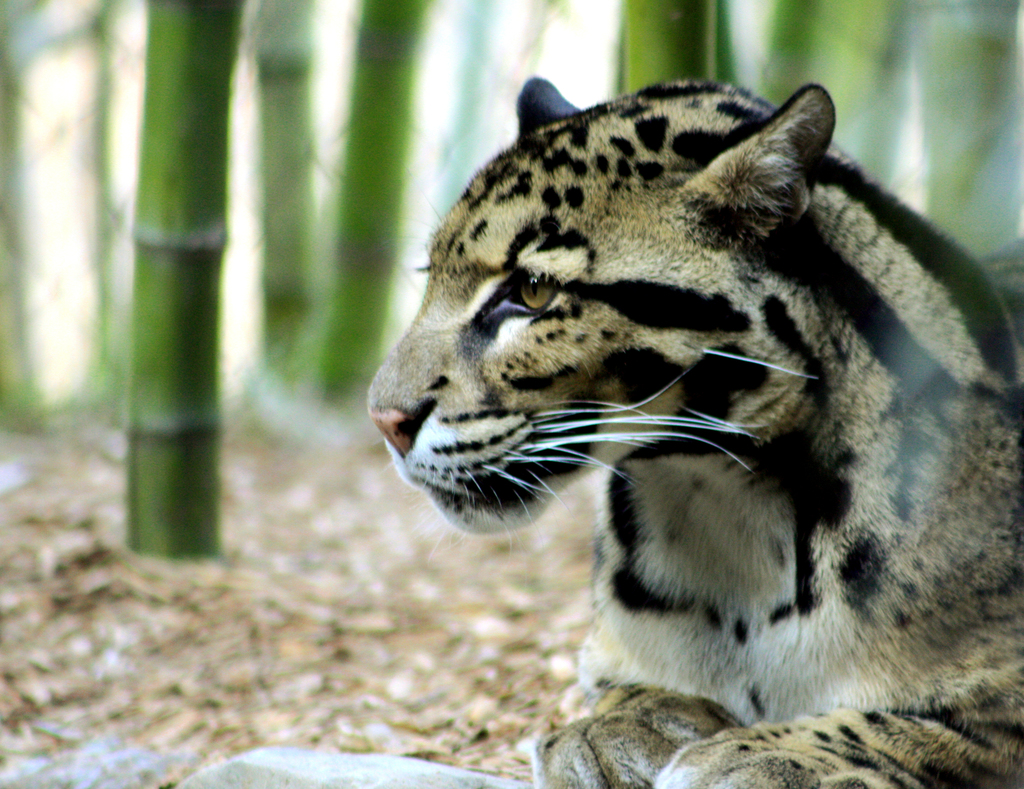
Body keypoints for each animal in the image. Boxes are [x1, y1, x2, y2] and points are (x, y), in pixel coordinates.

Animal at [368, 76, 1024, 788]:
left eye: (534, 291)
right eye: (429, 277)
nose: (384, 420)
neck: (727, 506)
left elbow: (915, 727)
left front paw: (771, 755)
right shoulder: (610, 657)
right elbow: (622, 688)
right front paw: (620, 727)